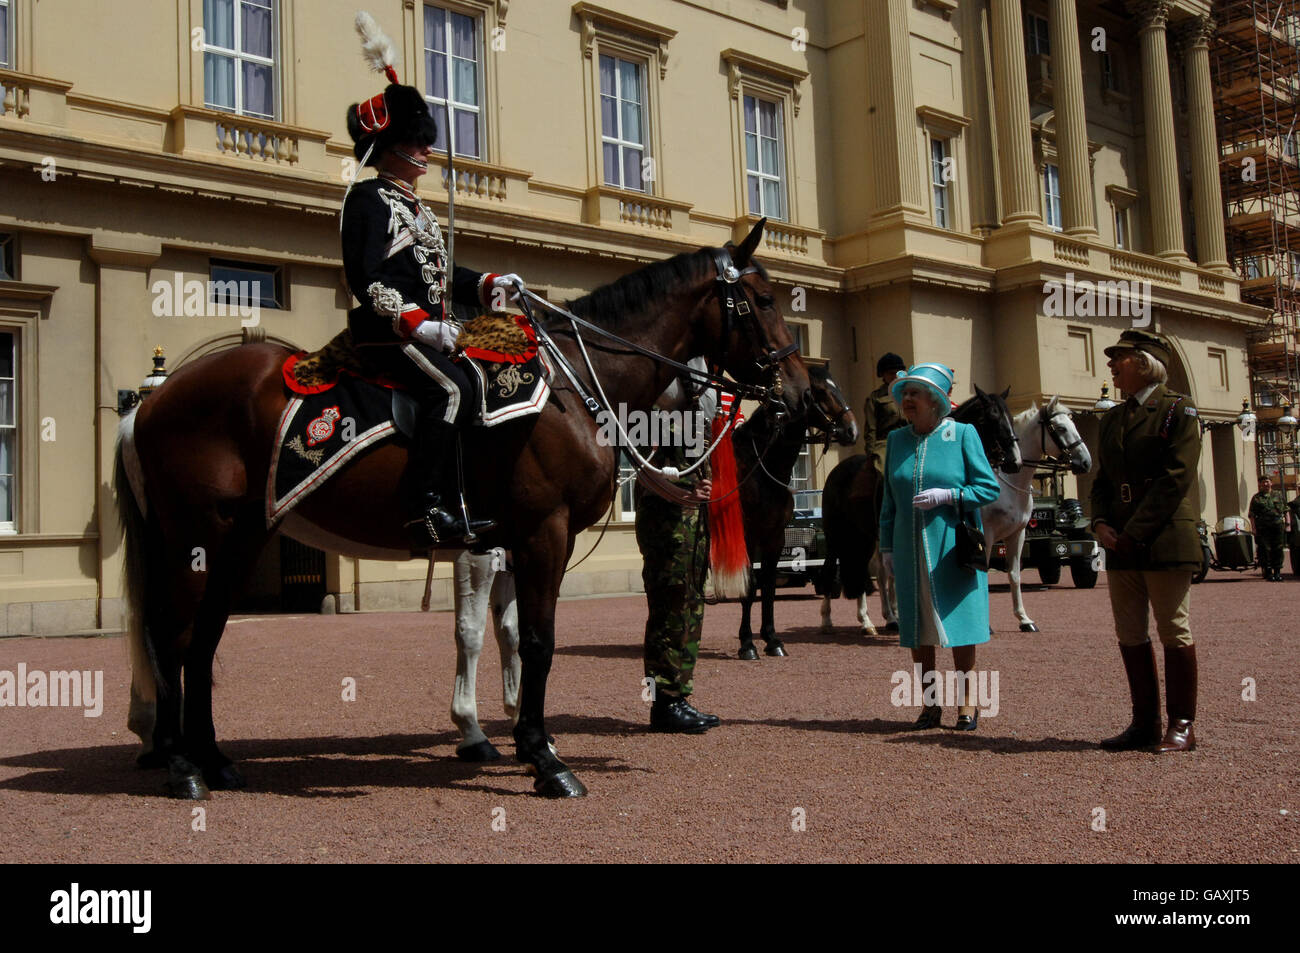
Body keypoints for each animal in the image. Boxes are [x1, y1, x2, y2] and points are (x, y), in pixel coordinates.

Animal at [116, 219, 806, 800]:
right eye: (765, 300)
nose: (795, 391)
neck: (571, 388)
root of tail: (153, 401)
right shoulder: (541, 535)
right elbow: (536, 641)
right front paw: (544, 759)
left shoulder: (512, 543)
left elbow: (515, 639)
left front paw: (525, 740)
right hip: (195, 540)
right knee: (173, 637)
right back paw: (181, 765)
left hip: (239, 541)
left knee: (202, 640)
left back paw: (213, 760)